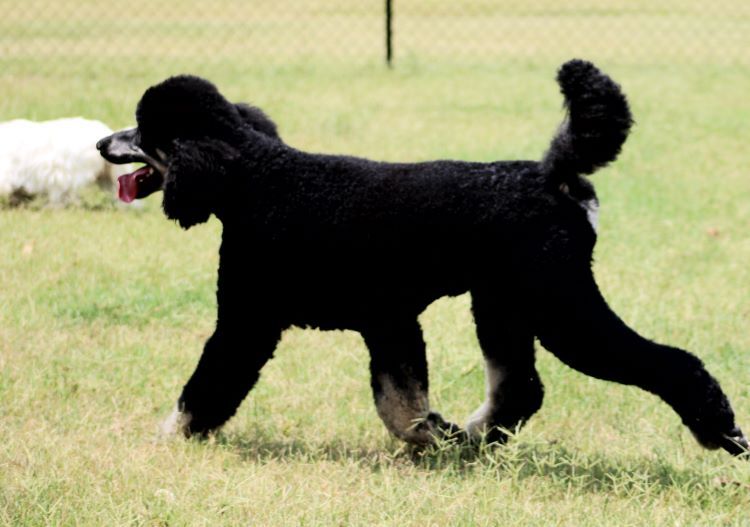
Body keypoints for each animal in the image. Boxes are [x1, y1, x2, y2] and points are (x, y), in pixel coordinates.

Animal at [97, 60, 748, 457]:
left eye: (145, 129)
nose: (102, 142)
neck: (256, 180)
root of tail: (553, 176)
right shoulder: (388, 321)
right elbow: (401, 402)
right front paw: (436, 436)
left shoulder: (249, 320)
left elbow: (208, 387)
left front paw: (167, 437)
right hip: (505, 305)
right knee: (521, 388)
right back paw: (475, 438)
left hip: (560, 306)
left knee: (673, 363)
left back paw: (722, 432)